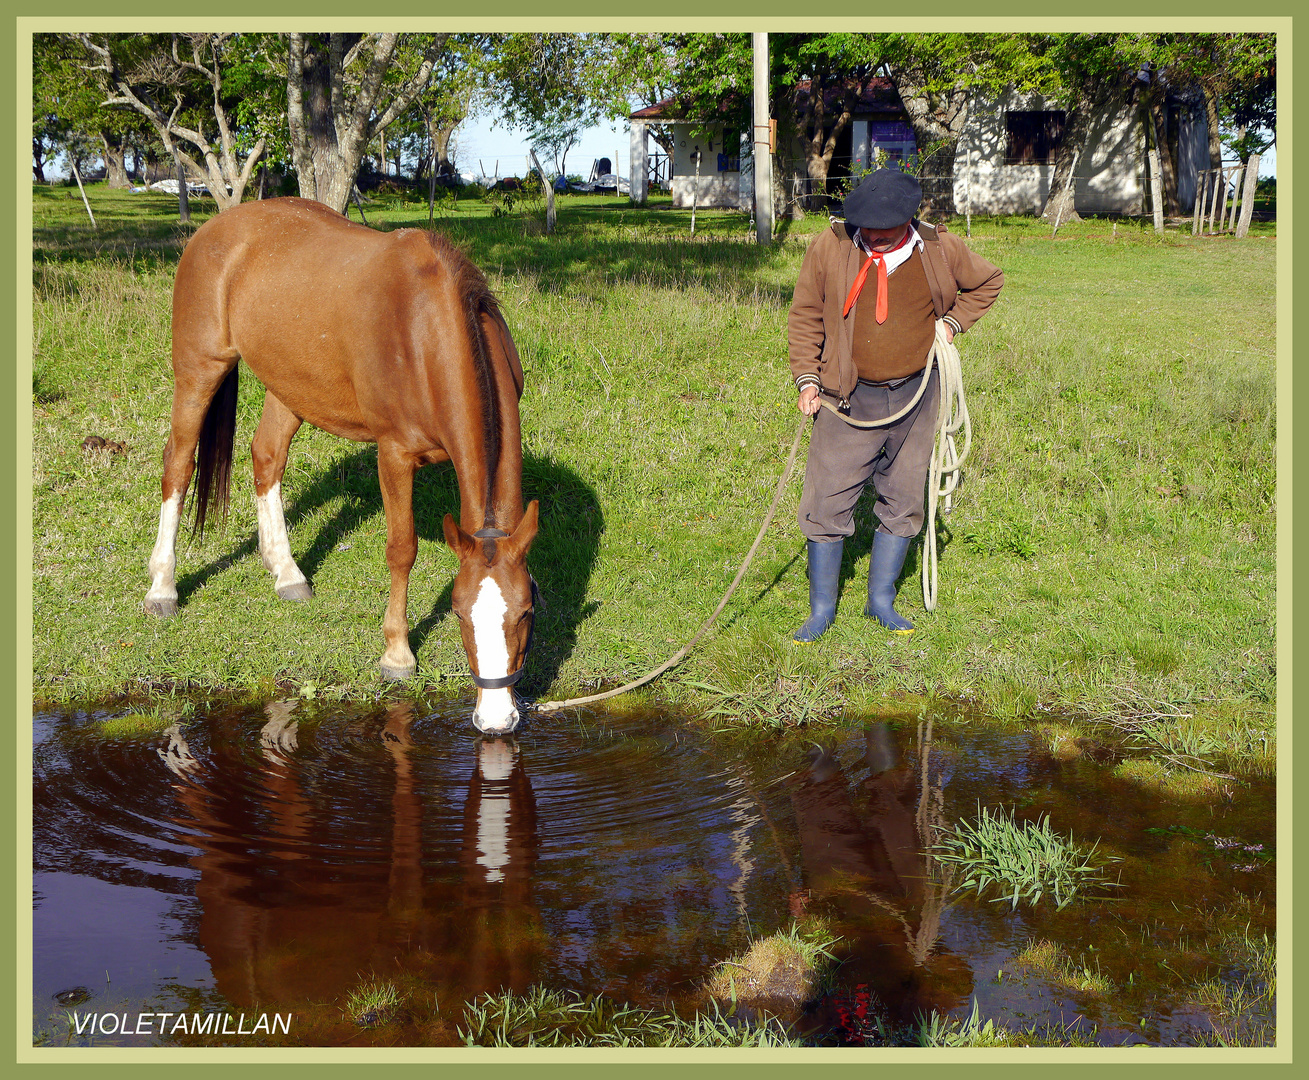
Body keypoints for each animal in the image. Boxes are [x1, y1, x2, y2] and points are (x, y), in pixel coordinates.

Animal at [140, 196, 534, 733]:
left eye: (525, 612)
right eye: (457, 613)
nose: (496, 719)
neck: (425, 331)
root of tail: (214, 229)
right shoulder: (394, 454)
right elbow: (402, 549)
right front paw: (397, 654)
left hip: (290, 385)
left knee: (267, 457)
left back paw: (287, 573)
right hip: (199, 370)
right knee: (178, 466)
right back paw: (163, 586)